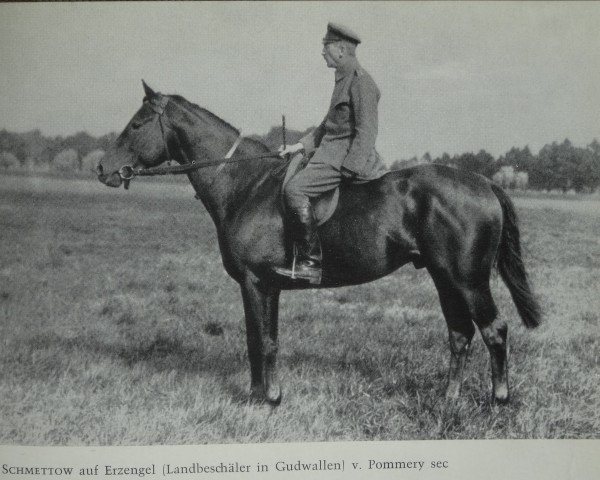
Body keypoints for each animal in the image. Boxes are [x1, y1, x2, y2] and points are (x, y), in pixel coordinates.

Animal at [97, 81, 540, 404]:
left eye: (137, 124)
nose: (102, 169)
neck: (246, 185)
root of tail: (484, 183)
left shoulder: (255, 282)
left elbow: (263, 341)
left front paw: (269, 398)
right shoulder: (265, 286)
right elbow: (258, 339)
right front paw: (259, 394)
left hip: (467, 280)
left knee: (494, 330)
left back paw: (499, 399)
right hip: (443, 277)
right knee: (460, 334)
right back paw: (448, 400)